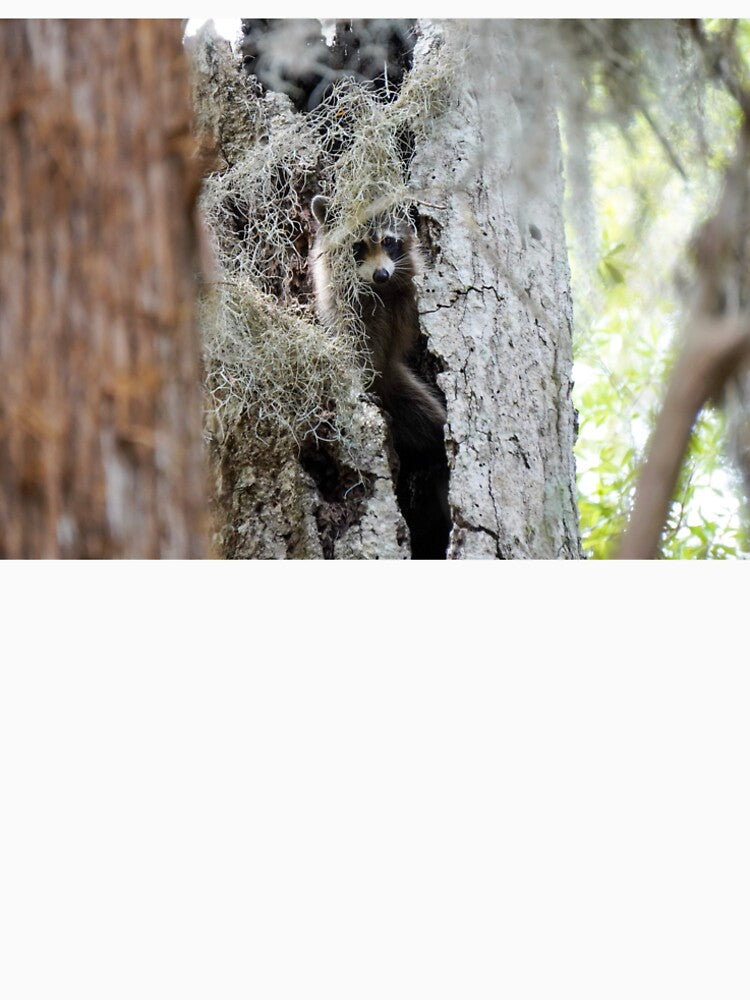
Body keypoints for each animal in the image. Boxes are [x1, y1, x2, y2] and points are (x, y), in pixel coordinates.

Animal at [309, 194, 447, 463]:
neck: (379, 288)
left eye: (388, 241)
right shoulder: (344, 304)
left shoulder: (405, 289)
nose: (381, 274)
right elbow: (354, 345)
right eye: (357, 246)